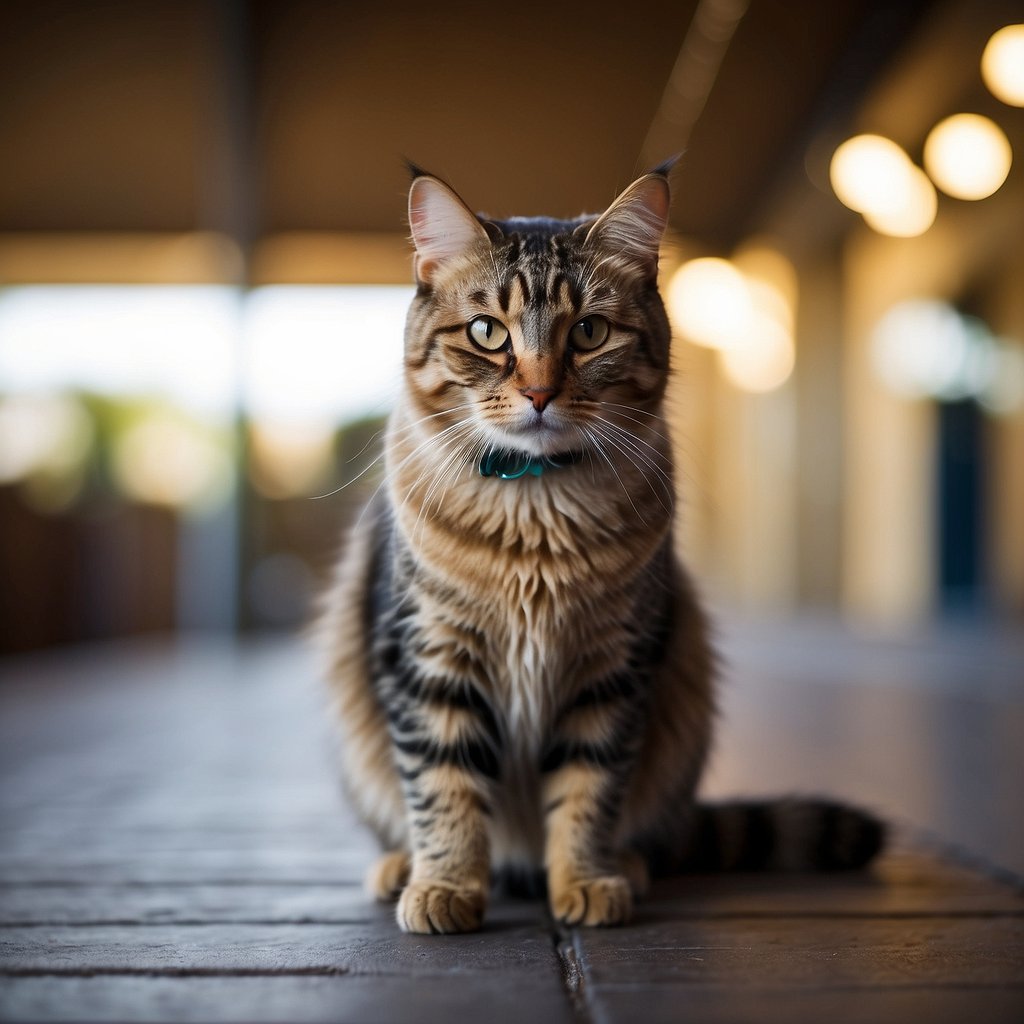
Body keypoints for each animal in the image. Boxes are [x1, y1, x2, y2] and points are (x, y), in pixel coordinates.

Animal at [317, 161, 880, 937]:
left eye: (589, 332)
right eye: (487, 332)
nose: (539, 393)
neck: (532, 513)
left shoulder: (612, 668)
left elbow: (589, 790)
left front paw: (583, 881)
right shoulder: (430, 660)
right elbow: (444, 788)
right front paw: (447, 887)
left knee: (650, 832)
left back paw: (628, 866)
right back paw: (403, 868)